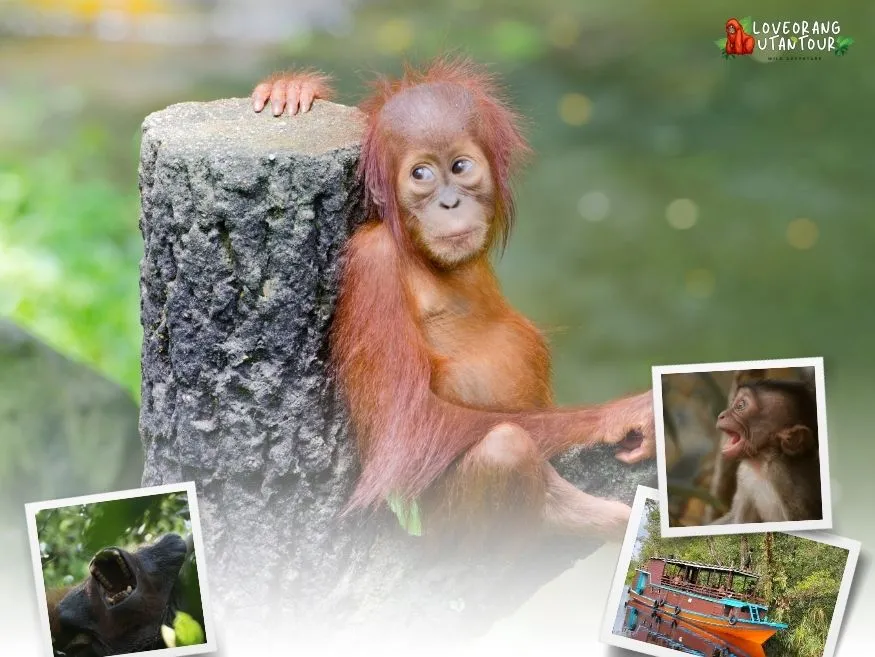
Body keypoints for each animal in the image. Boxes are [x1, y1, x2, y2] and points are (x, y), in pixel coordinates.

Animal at [251, 57, 655, 542]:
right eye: (421, 175)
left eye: (460, 167)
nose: (449, 203)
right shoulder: (374, 264)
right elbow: (408, 429)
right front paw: (625, 414)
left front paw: (291, 89)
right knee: (505, 446)